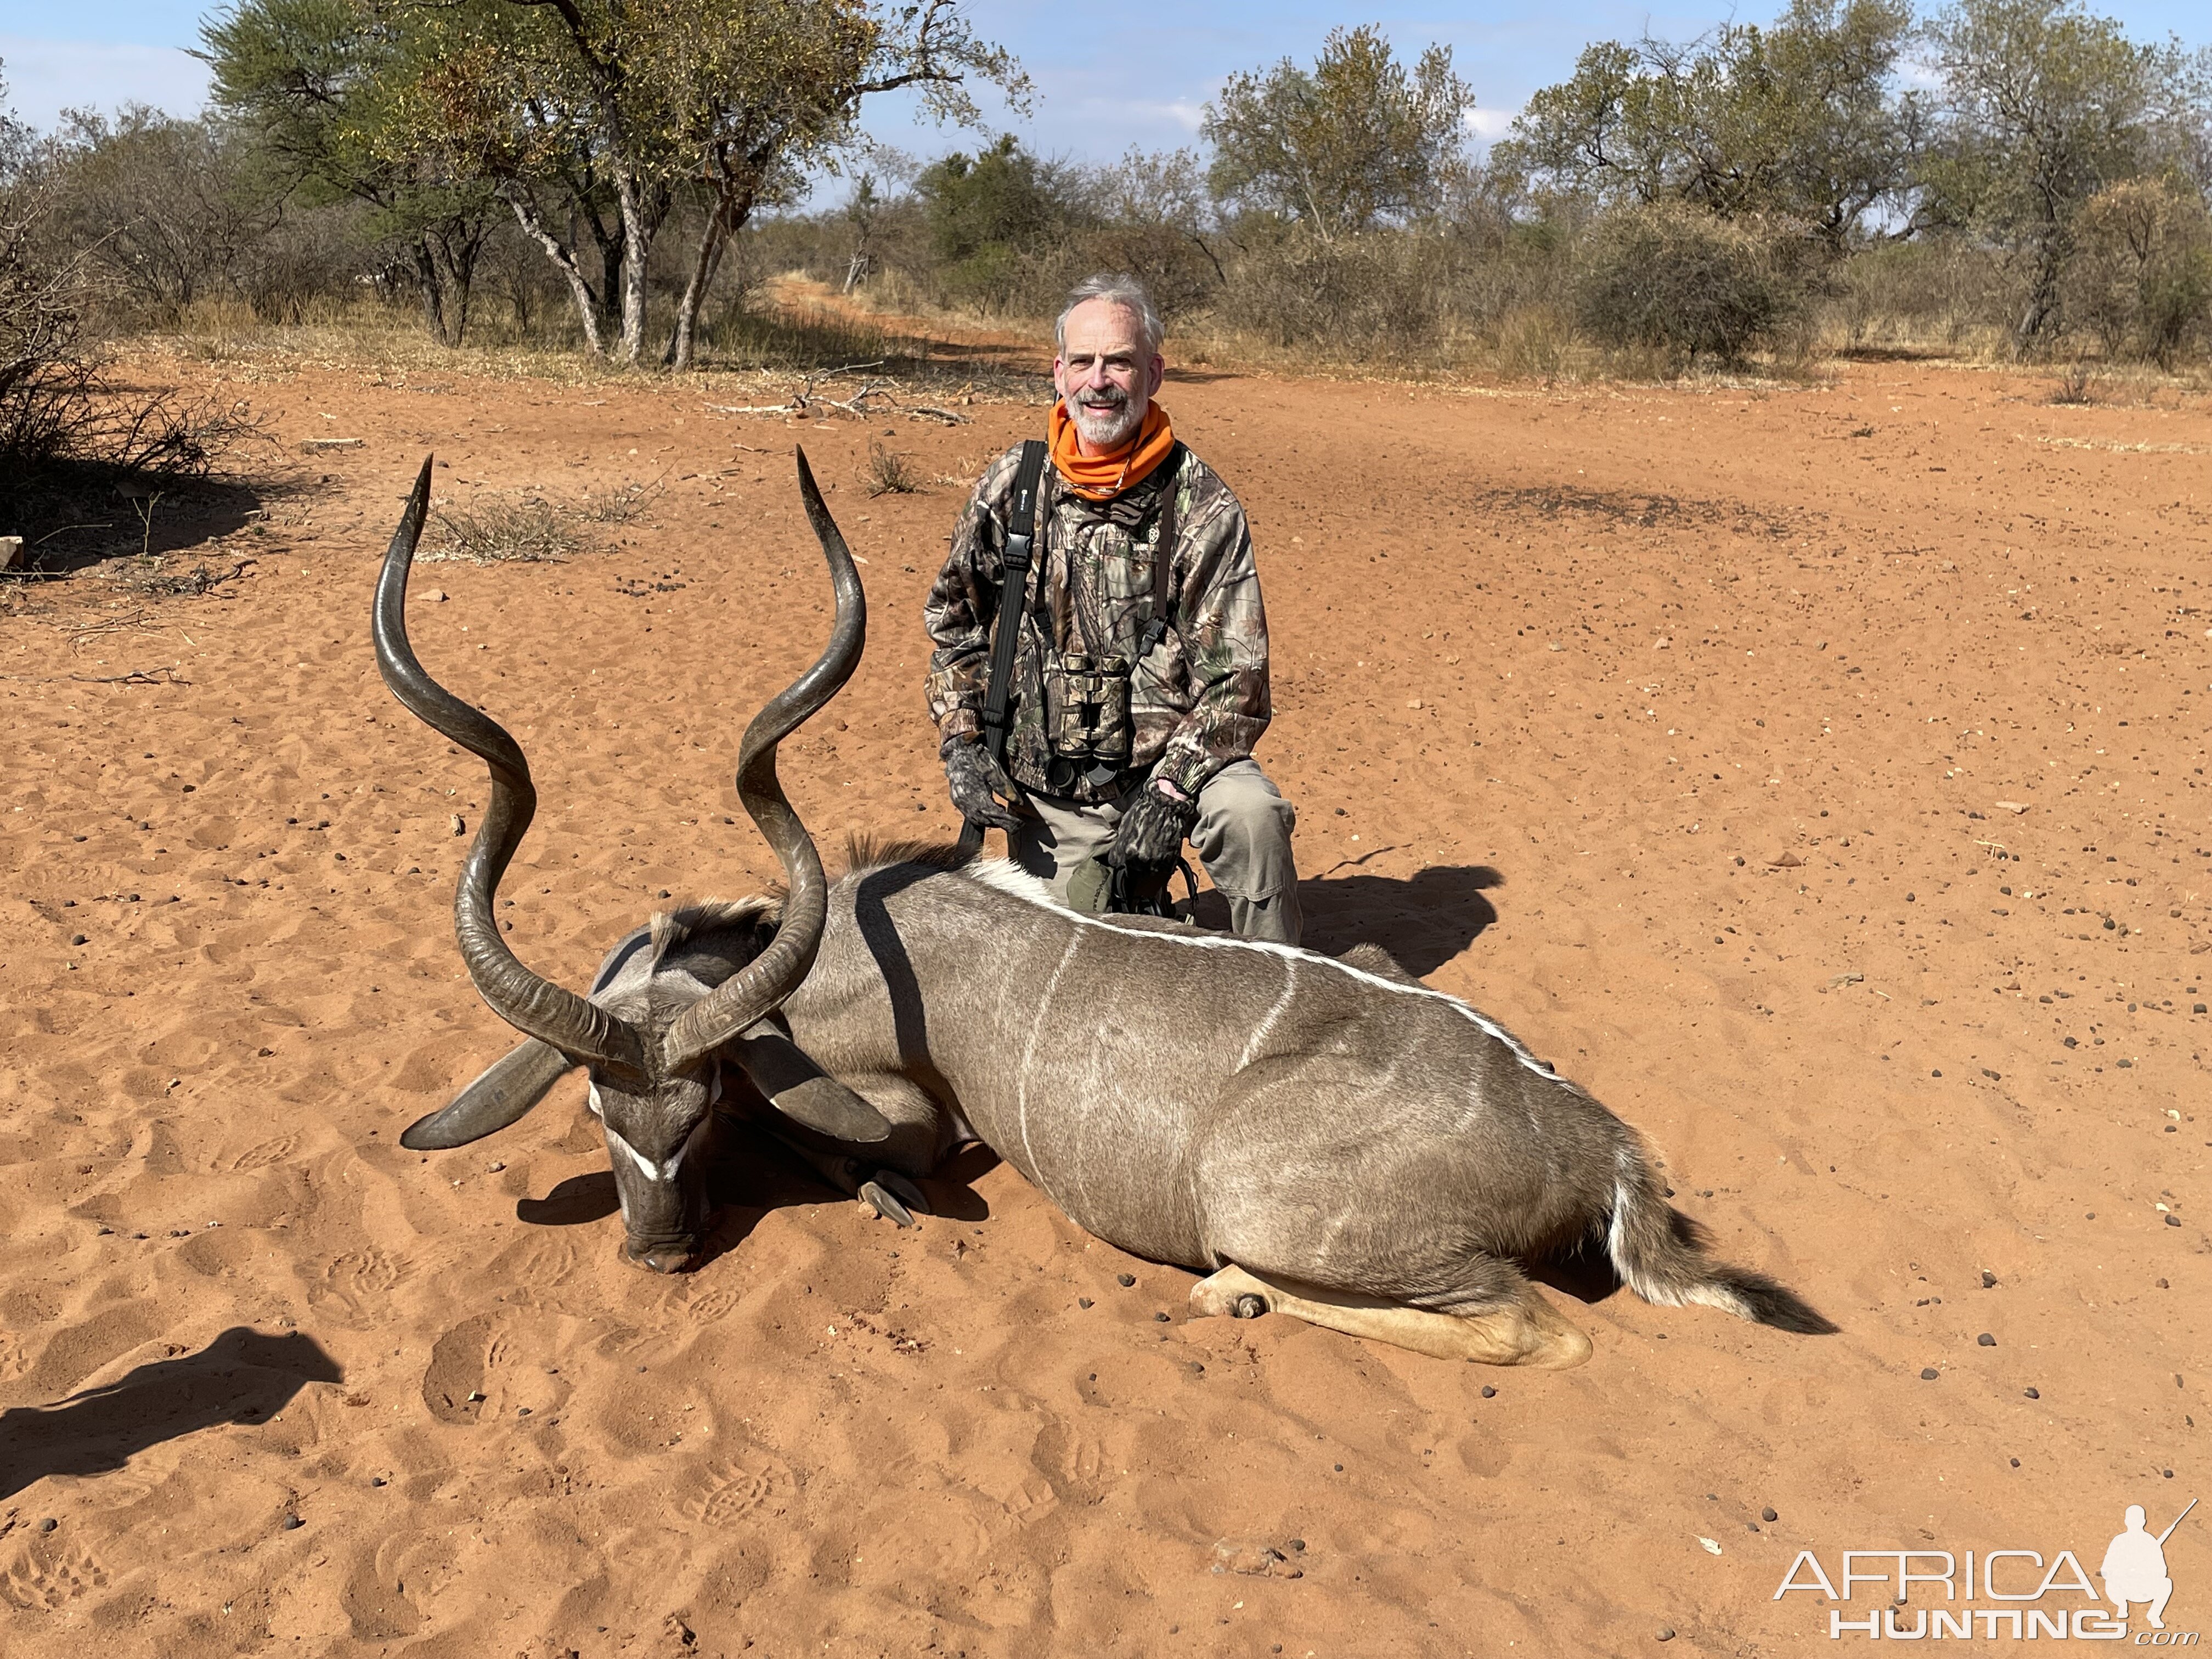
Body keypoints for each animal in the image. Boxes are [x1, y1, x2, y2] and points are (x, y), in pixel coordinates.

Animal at [380, 451, 1831, 1362]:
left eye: (696, 1112)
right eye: (596, 1112)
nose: (657, 1257)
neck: (850, 934)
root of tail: (1600, 1143)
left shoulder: (912, 1115)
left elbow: (865, 1152)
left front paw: (866, 1191)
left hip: (1263, 1201)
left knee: (1533, 1326)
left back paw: (1238, 1295)